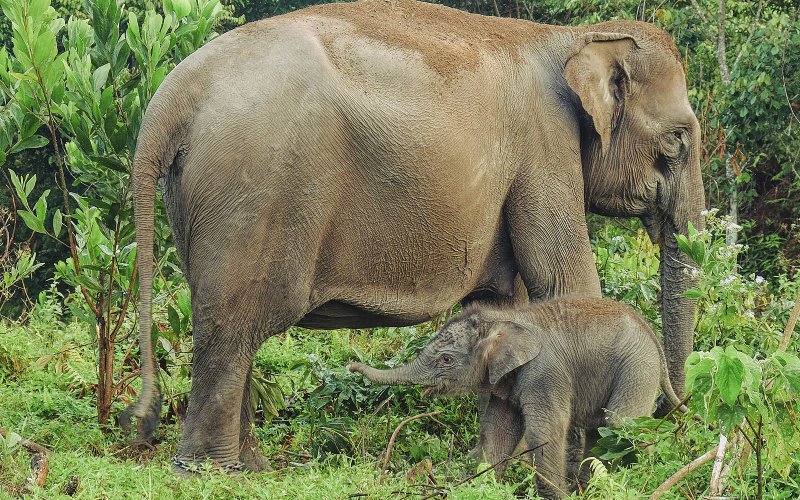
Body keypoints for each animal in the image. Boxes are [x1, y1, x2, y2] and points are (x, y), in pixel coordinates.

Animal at [122, 0, 705, 473]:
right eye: (678, 140)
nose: (674, 409)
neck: (572, 37)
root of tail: (171, 96)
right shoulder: (545, 144)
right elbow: (566, 283)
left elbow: (503, 305)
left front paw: (486, 468)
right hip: (251, 191)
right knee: (233, 327)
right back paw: (211, 472)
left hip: (196, 198)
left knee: (231, 328)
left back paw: (252, 469)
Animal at [348, 297, 688, 498]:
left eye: (446, 359)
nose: (351, 366)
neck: (503, 318)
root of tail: (652, 334)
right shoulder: (503, 379)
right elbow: (497, 432)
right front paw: (482, 489)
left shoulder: (545, 372)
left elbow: (544, 432)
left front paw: (559, 497)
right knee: (600, 431)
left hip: (637, 367)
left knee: (621, 425)